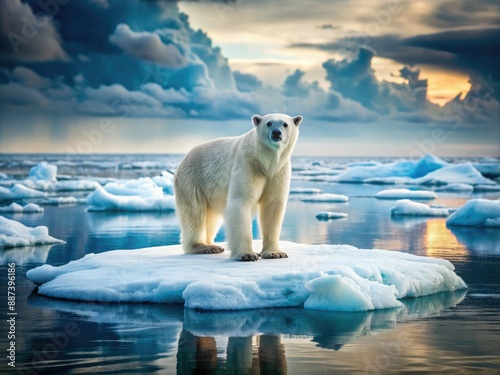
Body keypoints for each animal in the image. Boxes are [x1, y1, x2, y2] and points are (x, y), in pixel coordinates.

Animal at [174, 113, 302, 262]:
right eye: (269, 123)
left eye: (285, 124)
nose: (276, 133)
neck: (265, 162)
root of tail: (184, 159)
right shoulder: (247, 164)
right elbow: (241, 201)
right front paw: (247, 254)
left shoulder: (278, 172)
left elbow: (273, 206)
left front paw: (275, 253)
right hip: (193, 180)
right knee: (195, 213)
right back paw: (203, 246)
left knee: (211, 217)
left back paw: (212, 245)